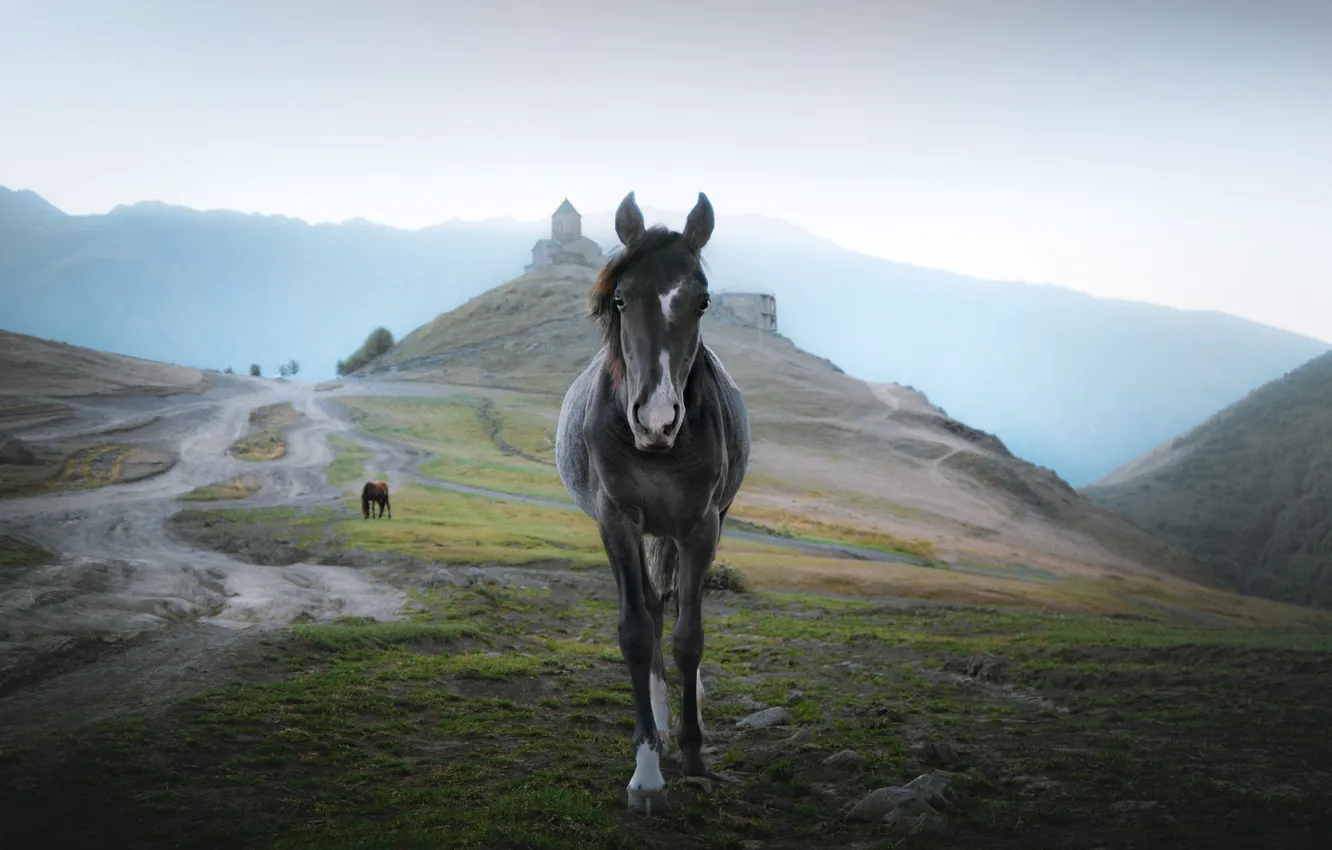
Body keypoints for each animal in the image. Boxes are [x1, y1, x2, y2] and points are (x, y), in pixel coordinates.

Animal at [555, 191, 750, 815]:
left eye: (702, 301)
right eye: (620, 298)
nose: (657, 419)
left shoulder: (701, 525)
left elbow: (689, 637)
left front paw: (693, 755)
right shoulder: (617, 520)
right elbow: (638, 633)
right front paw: (646, 774)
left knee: (671, 606)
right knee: (651, 605)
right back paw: (659, 722)